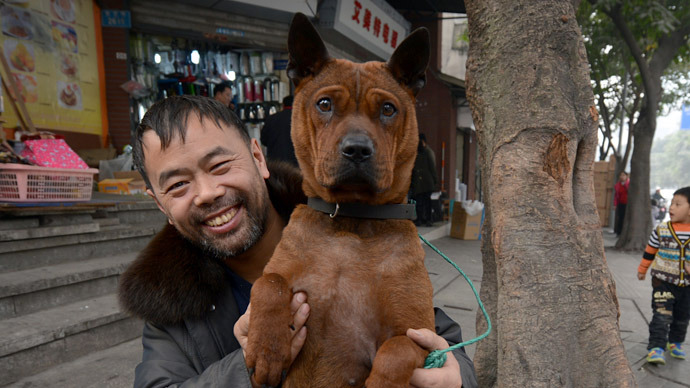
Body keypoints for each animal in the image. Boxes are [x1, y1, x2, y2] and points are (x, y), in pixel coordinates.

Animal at [245, 12, 432, 388]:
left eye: (388, 109)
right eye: (325, 104)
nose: (357, 149)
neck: (351, 221)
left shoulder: (418, 332)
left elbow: (396, 352)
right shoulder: (278, 272)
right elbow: (268, 284)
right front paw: (266, 349)